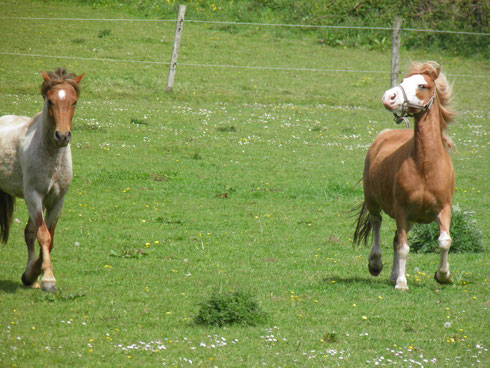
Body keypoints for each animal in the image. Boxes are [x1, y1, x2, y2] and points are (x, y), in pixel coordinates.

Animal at [0, 67, 84, 292]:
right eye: (50, 101)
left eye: (74, 101)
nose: (62, 136)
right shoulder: (34, 196)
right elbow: (43, 236)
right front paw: (48, 279)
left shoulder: (57, 200)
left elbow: (46, 237)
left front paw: (32, 274)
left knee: (29, 232)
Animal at [352, 61, 456, 290]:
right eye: (402, 81)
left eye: (422, 85)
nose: (388, 97)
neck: (425, 166)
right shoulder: (401, 210)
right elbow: (403, 247)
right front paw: (401, 282)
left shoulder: (443, 208)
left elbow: (444, 241)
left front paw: (443, 275)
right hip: (373, 202)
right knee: (377, 223)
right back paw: (376, 264)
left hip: (410, 219)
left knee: (395, 239)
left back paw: (392, 275)